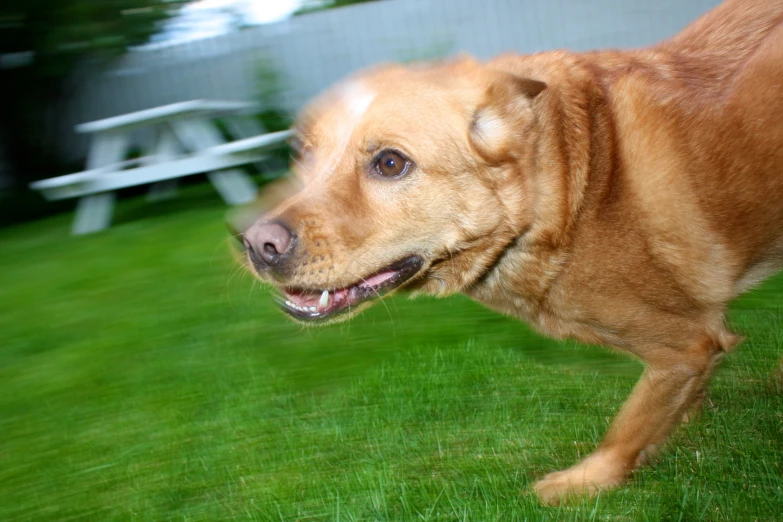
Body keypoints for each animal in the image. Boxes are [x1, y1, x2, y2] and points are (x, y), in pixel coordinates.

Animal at [242, 0, 783, 504]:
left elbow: (629, 424)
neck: (577, 183)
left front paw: (589, 479)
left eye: (390, 163)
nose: (254, 243)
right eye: (303, 154)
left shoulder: (685, 345)